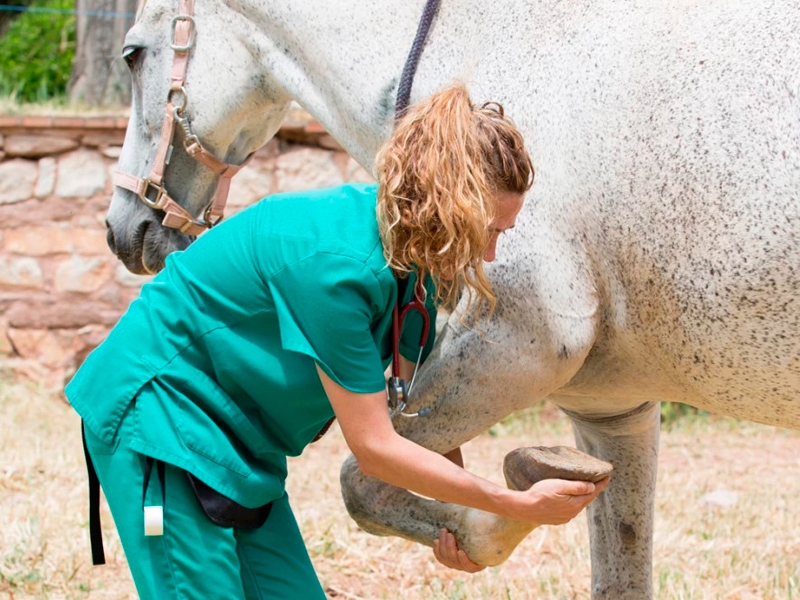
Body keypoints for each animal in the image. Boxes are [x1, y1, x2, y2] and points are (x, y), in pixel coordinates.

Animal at [106, 2, 800, 596]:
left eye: (133, 55)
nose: (124, 229)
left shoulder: (519, 344)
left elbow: (363, 484)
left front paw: (512, 509)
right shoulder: (612, 411)